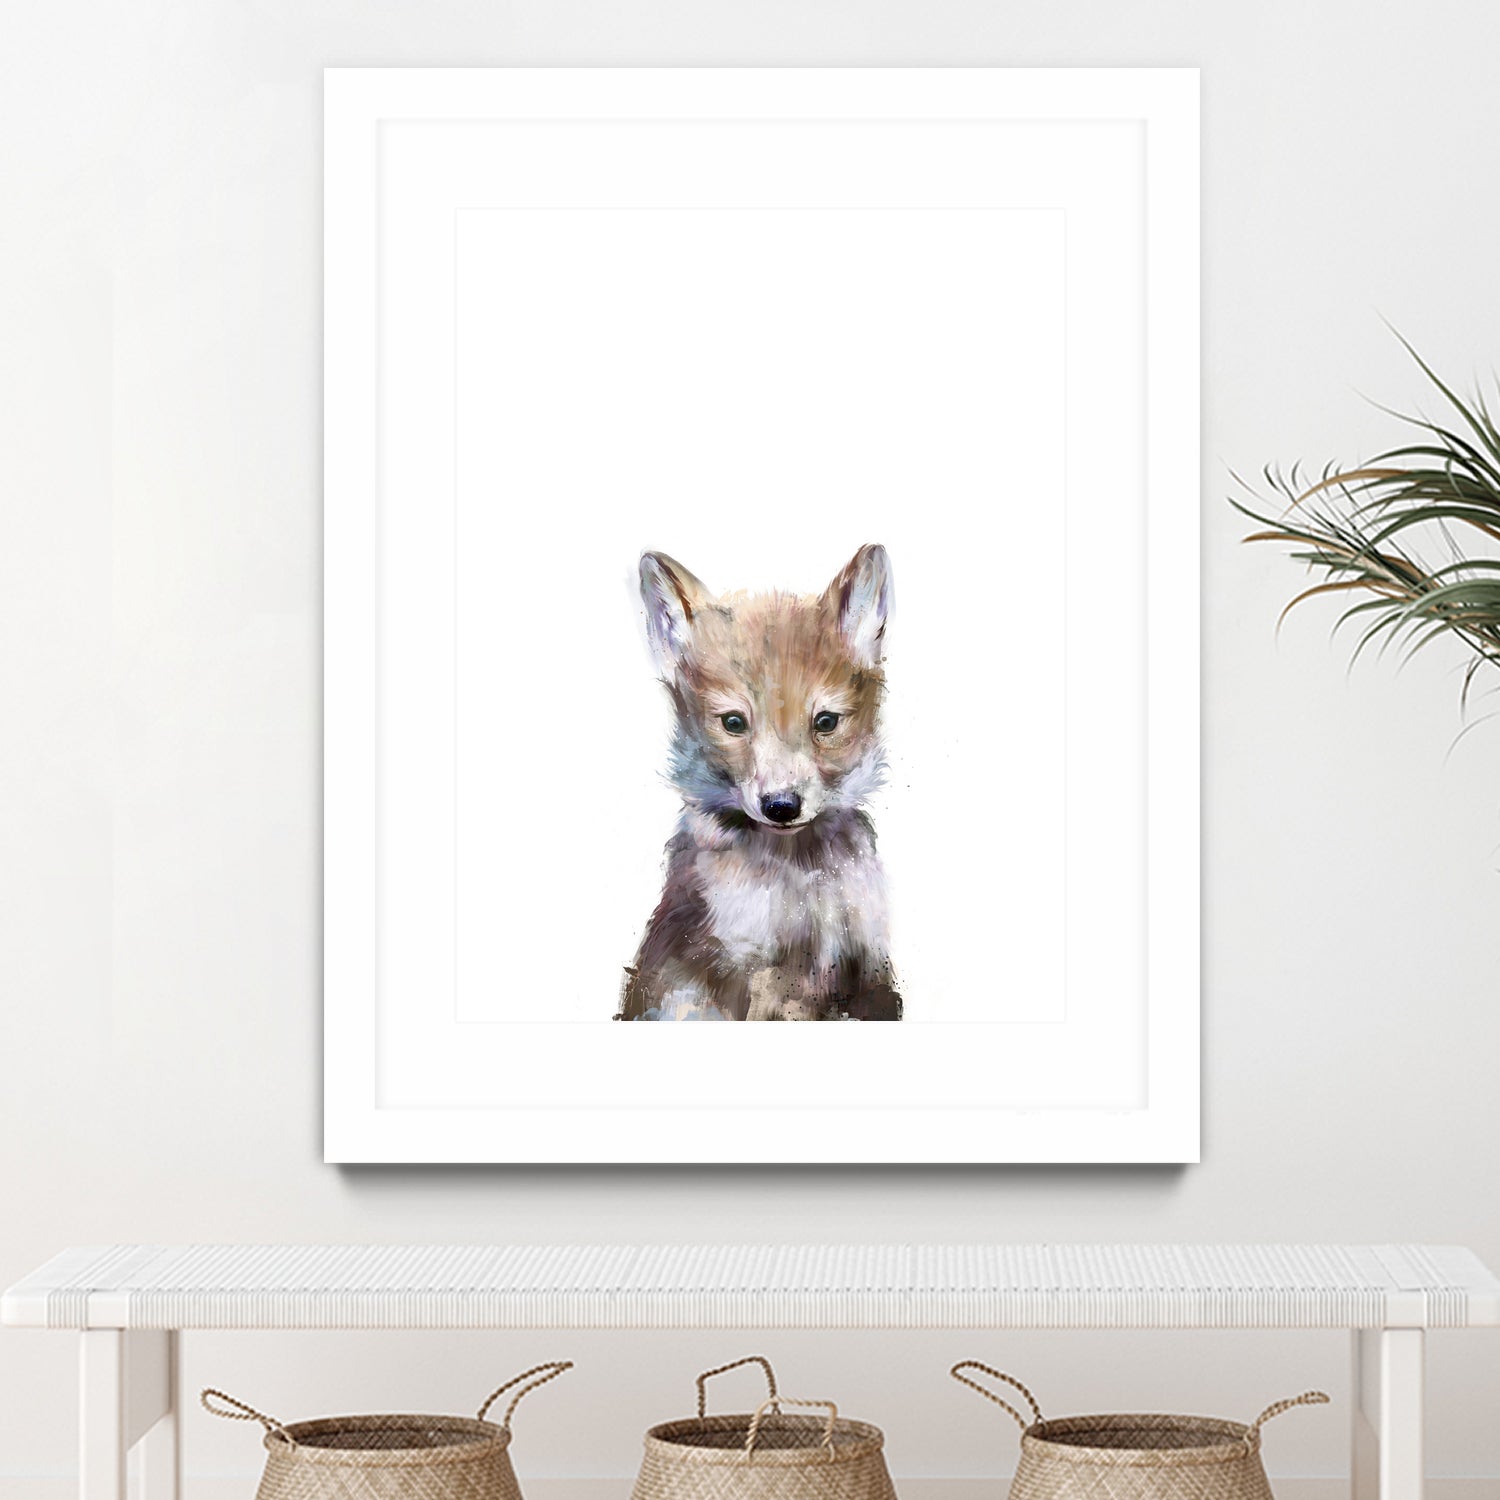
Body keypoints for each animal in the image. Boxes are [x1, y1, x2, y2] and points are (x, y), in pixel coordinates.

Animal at [617, 545, 902, 1022]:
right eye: (734, 722)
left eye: (826, 722)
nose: (781, 806)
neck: (799, 880)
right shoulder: (749, 969)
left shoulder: (866, 966)